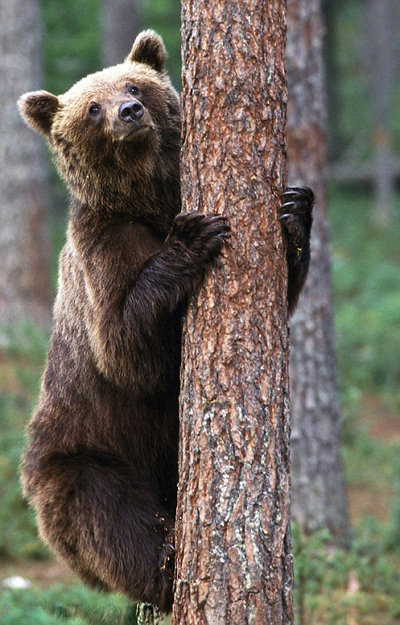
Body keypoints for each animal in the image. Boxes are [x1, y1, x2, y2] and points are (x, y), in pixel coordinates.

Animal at [18, 29, 312, 608]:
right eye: (91, 107)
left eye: (134, 85)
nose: (129, 112)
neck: (149, 200)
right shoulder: (102, 244)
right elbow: (125, 347)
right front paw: (193, 237)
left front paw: (296, 211)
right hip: (84, 448)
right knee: (108, 516)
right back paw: (165, 561)